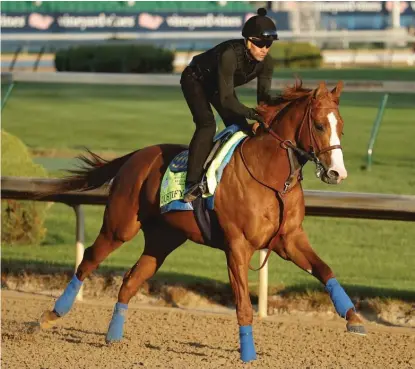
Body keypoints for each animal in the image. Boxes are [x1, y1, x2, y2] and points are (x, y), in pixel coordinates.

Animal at [38, 80, 364, 362]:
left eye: (342, 127)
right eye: (320, 125)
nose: (337, 173)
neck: (270, 178)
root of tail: (135, 156)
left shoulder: (289, 239)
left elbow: (324, 270)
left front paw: (354, 318)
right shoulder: (238, 247)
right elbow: (243, 304)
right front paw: (248, 354)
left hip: (162, 240)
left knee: (131, 280)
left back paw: (113, 337)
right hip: (120, 227)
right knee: (89, 260)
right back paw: (51, 316)